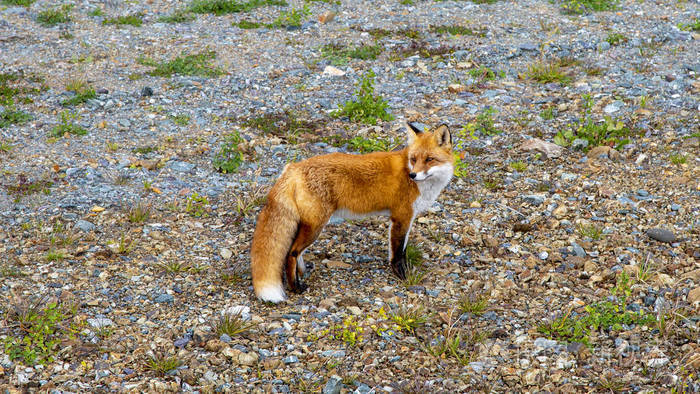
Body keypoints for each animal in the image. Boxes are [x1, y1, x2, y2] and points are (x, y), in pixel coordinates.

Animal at [250, 123, 454, 302]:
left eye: (429, 159)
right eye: (414, 159)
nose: (413, 175)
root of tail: (292, 168)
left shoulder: (405, 219)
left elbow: (400, 249)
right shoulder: (402, 216)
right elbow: (397, 254)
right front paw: (403, 276)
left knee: (296, 252)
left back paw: (302, 272)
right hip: (316, 225)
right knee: (291, 253)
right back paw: (296, 287)